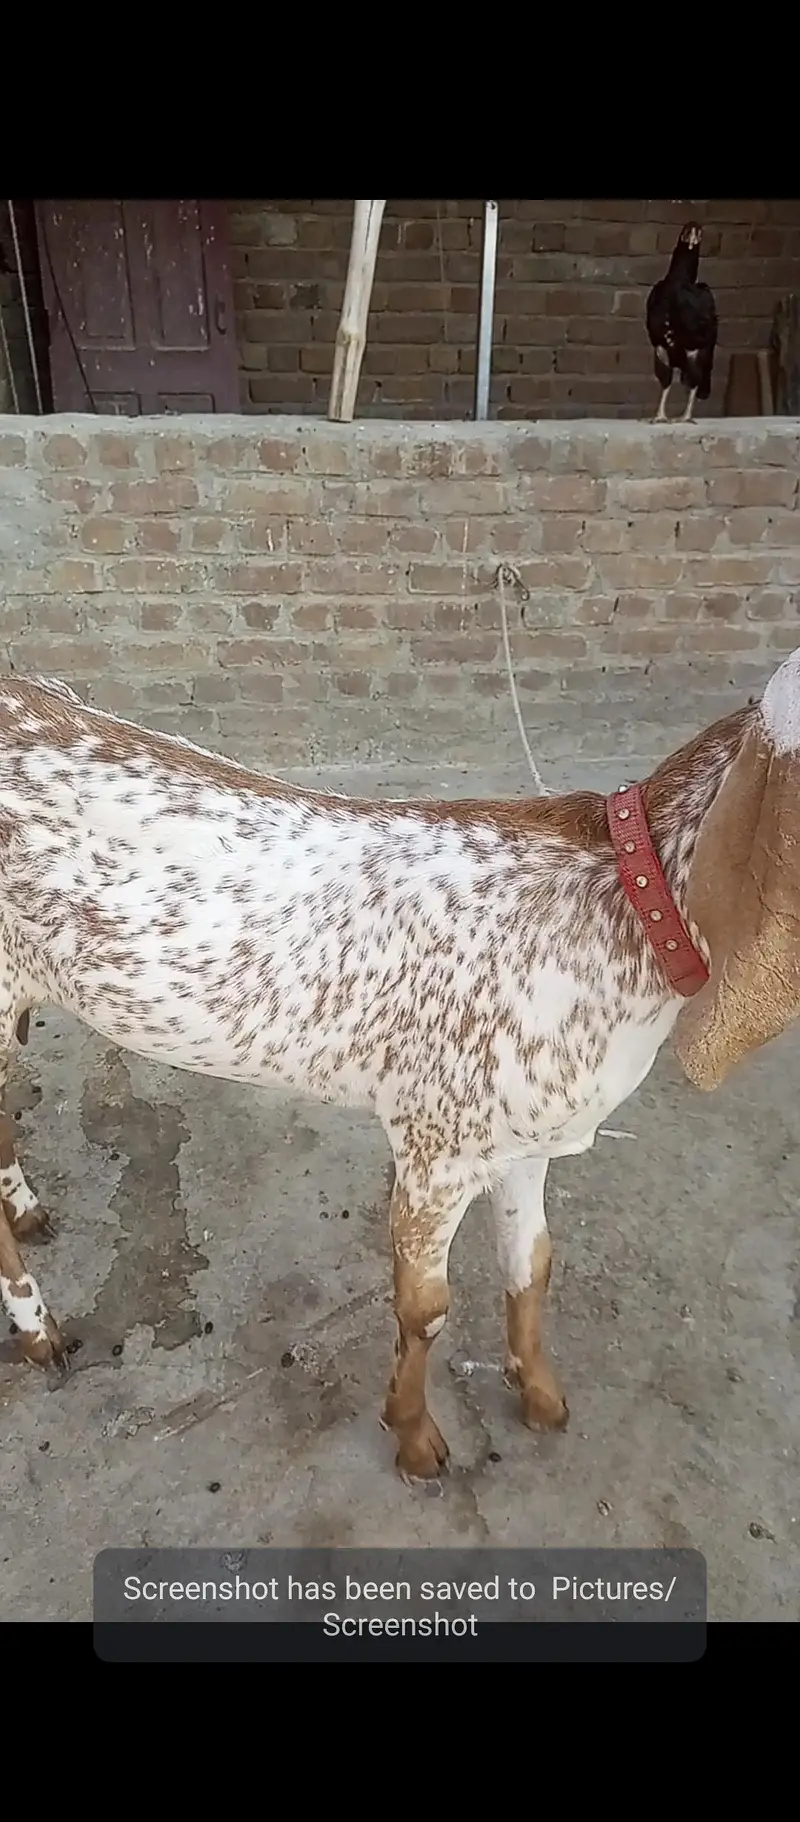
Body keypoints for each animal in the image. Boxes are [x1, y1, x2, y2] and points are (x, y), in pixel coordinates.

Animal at [1, 657, 799, 1483]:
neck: (621, 909)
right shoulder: (435, 1148)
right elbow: (426, 1309)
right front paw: (415, 1437)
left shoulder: (527, 1142)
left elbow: (532, 1265)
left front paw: (539, 1393)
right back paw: (38, 1329)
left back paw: (27, 1212)